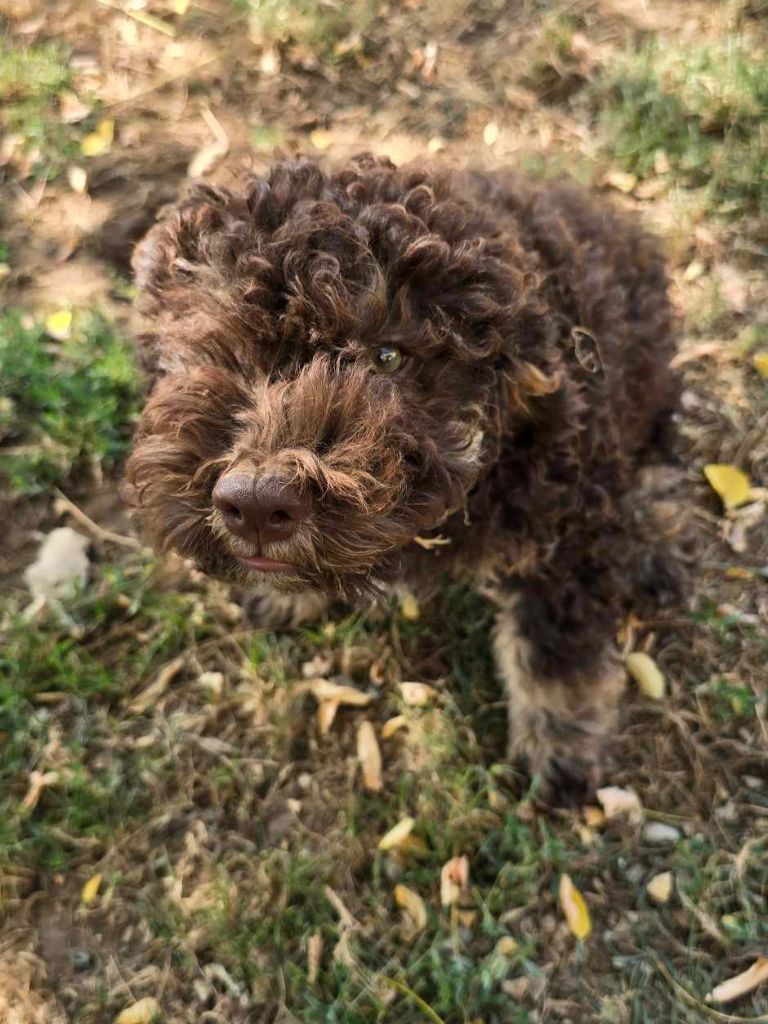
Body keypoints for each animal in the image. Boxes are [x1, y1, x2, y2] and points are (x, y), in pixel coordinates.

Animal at [124, 153, 684, 806]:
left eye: (388, 357)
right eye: (220, 343)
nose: (258, 506)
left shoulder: (568, 530)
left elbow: (556, 650)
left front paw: (561, 746)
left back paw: (656, 540)